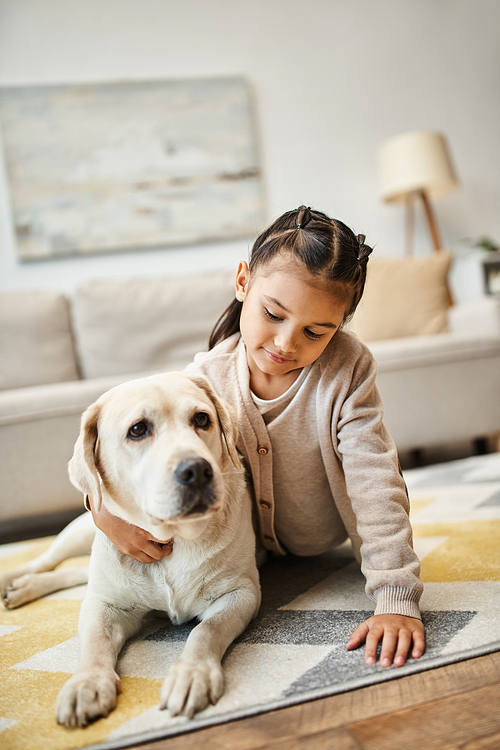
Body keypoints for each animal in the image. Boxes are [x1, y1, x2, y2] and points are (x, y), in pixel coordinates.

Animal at [6, 374, 262, 728]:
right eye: (138, 429)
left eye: (202, 419)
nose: (197, 470)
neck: (172, 541)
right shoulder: (105, 605)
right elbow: (96, 642)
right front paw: (86, 683)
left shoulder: (240, 593)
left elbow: (207, 631)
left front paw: (192, 674)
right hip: (82, 531)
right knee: (50, 560)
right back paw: (16, 580)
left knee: (76, 572)